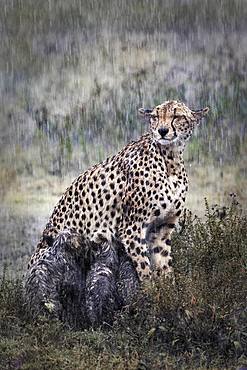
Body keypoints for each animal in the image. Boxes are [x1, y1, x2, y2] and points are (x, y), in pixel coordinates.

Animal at [29, 99, 210, 278]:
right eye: (155, 117)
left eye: (177, 116)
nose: (162, 131)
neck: (170, 158)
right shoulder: (132, 229)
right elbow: (145, 271)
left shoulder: (162, 228)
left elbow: (164, 269)